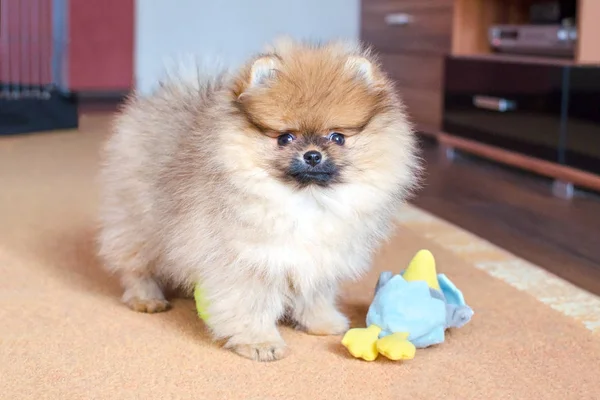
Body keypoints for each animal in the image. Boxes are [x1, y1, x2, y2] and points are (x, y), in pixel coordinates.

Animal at [96, 37, 420, 360]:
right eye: (285, 138)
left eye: (337, 137)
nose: (313, 155)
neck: (305, 201)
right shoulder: (247, 261)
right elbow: (250, 304)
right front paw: (260, 342)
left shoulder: (319, 259)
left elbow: (315, 293)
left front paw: (322, 322)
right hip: (138, 225)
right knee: (135, 266)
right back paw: (146, 298)